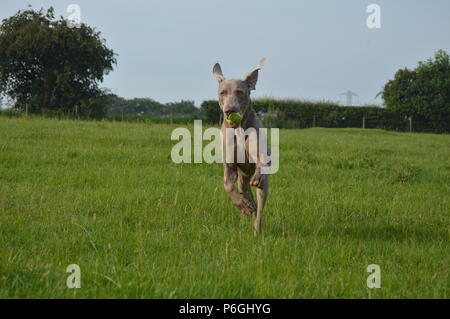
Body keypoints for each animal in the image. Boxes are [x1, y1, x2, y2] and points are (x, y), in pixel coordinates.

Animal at [213, 60, 268, 235]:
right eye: (222, 93)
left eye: (240, 92)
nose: (229, 110)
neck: (239, 129)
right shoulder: (230, 165)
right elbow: (228, 185)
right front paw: (242, 205)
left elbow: (260, 161)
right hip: (242, 182)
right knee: (249, 198)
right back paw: (249, 206)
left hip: (262, 187)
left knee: (260, 206)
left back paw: (257, 229)